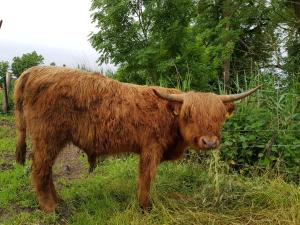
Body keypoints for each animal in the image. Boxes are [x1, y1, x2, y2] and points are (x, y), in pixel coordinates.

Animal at [14, 66, 260, 213]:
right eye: (189, 115)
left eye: (219, 117)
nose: (209, 142)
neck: (169, 114)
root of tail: (34, 70)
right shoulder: (151, 148)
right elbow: (146, 177)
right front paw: (145, 206)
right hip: (47, 137)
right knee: (40, 171)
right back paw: (51, 208)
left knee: (45, 172)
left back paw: (59, 201)